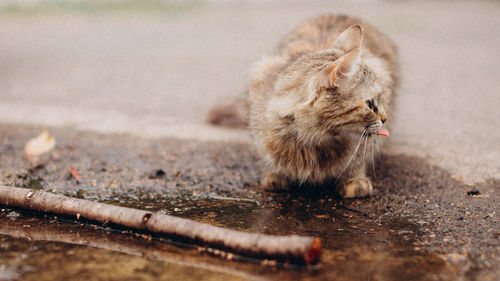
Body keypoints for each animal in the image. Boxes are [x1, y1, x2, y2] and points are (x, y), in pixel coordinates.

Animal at [205, 13, 396, 197]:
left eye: (379, 99)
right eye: (370, 104)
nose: (385, 119)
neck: (311, 139)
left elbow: (357, 160)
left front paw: (354, 180)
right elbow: (267, 154)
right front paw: (276, 174)